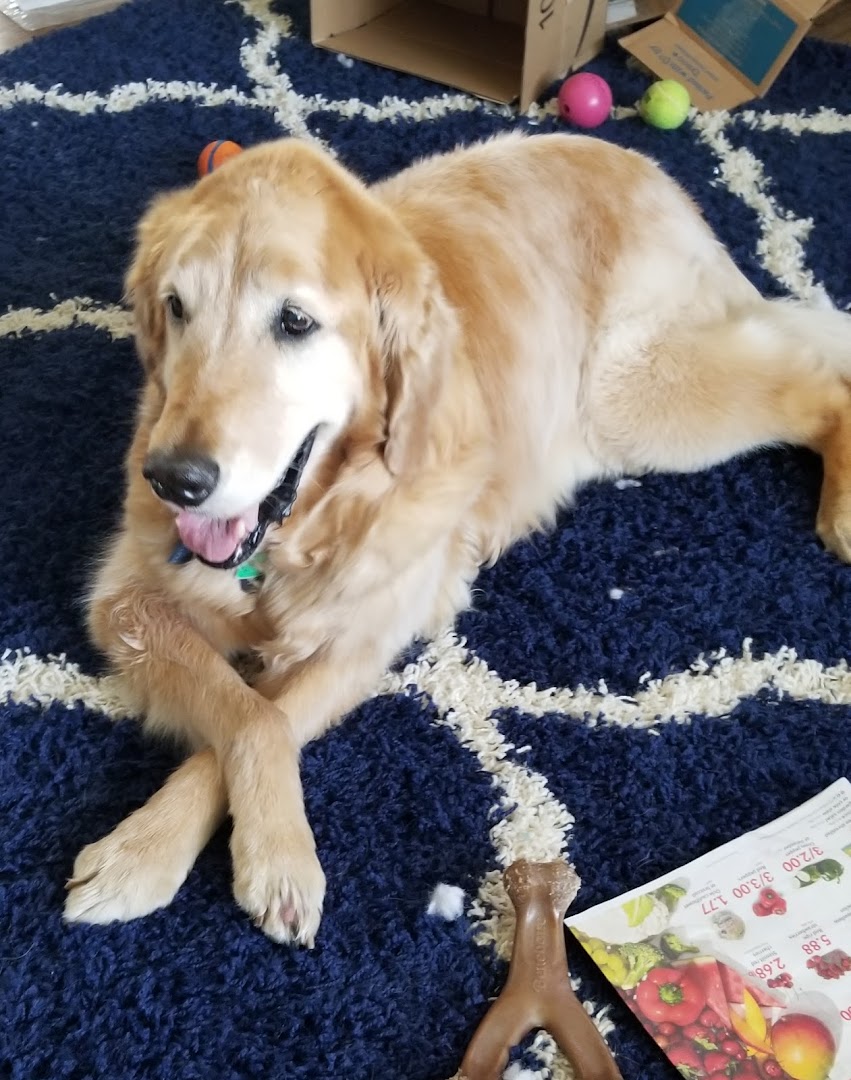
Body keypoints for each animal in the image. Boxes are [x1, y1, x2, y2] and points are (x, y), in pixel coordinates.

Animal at [63, 132, 851, 947]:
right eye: (176, 306)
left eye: (295, 323)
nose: (173, 479)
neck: (300, 531)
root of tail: (642, 162)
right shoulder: (123, 599)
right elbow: (241, 708)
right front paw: (149, 851)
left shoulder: (365, 635)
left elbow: (267, 718)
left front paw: (263, 856)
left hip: (632, 400)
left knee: (823, 384)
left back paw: (844, 508)